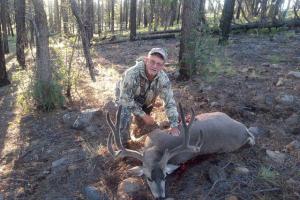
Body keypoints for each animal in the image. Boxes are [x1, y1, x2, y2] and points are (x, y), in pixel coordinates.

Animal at [106, 104, 255, 199]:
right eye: (148, 178)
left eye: (165, 176)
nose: (160, 197)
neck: (155, 147)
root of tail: (244, 131)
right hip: (221, 113)